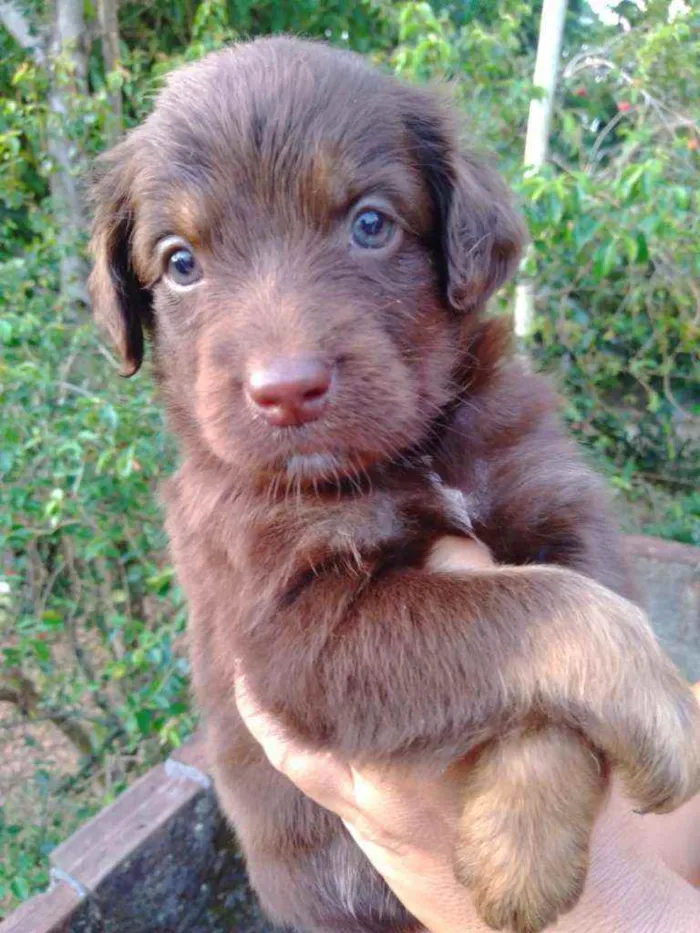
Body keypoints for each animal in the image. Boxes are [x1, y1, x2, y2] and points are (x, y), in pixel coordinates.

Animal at [89, 38, 700, 932]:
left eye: (370, 223)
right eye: (181, 263)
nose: (286, 390)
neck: (414, 454)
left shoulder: (556, 501)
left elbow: (566, 609)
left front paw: (519, 847)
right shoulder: (289, 630)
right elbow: (543, 612)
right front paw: (666, 715)